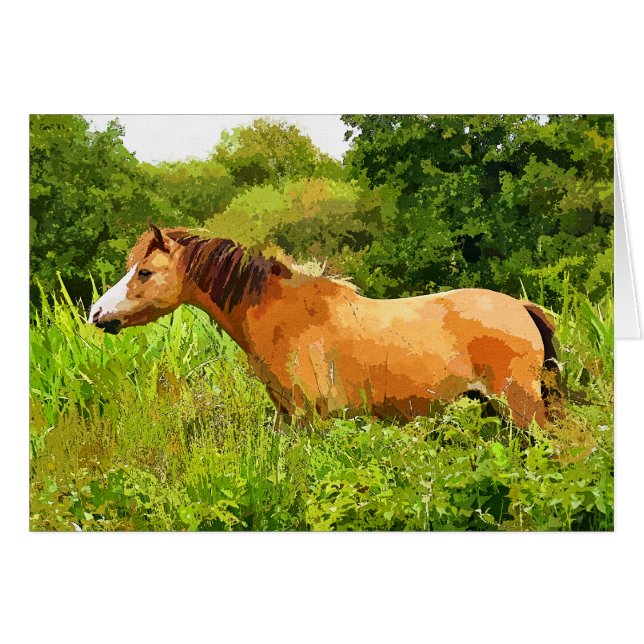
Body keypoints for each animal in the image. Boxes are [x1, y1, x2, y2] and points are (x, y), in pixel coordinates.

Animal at [89, 223, 559, 429]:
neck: (281, 315)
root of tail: (520, 308)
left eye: (144, 272)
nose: (95, 312)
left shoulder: (309, 419)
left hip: (521, 409)